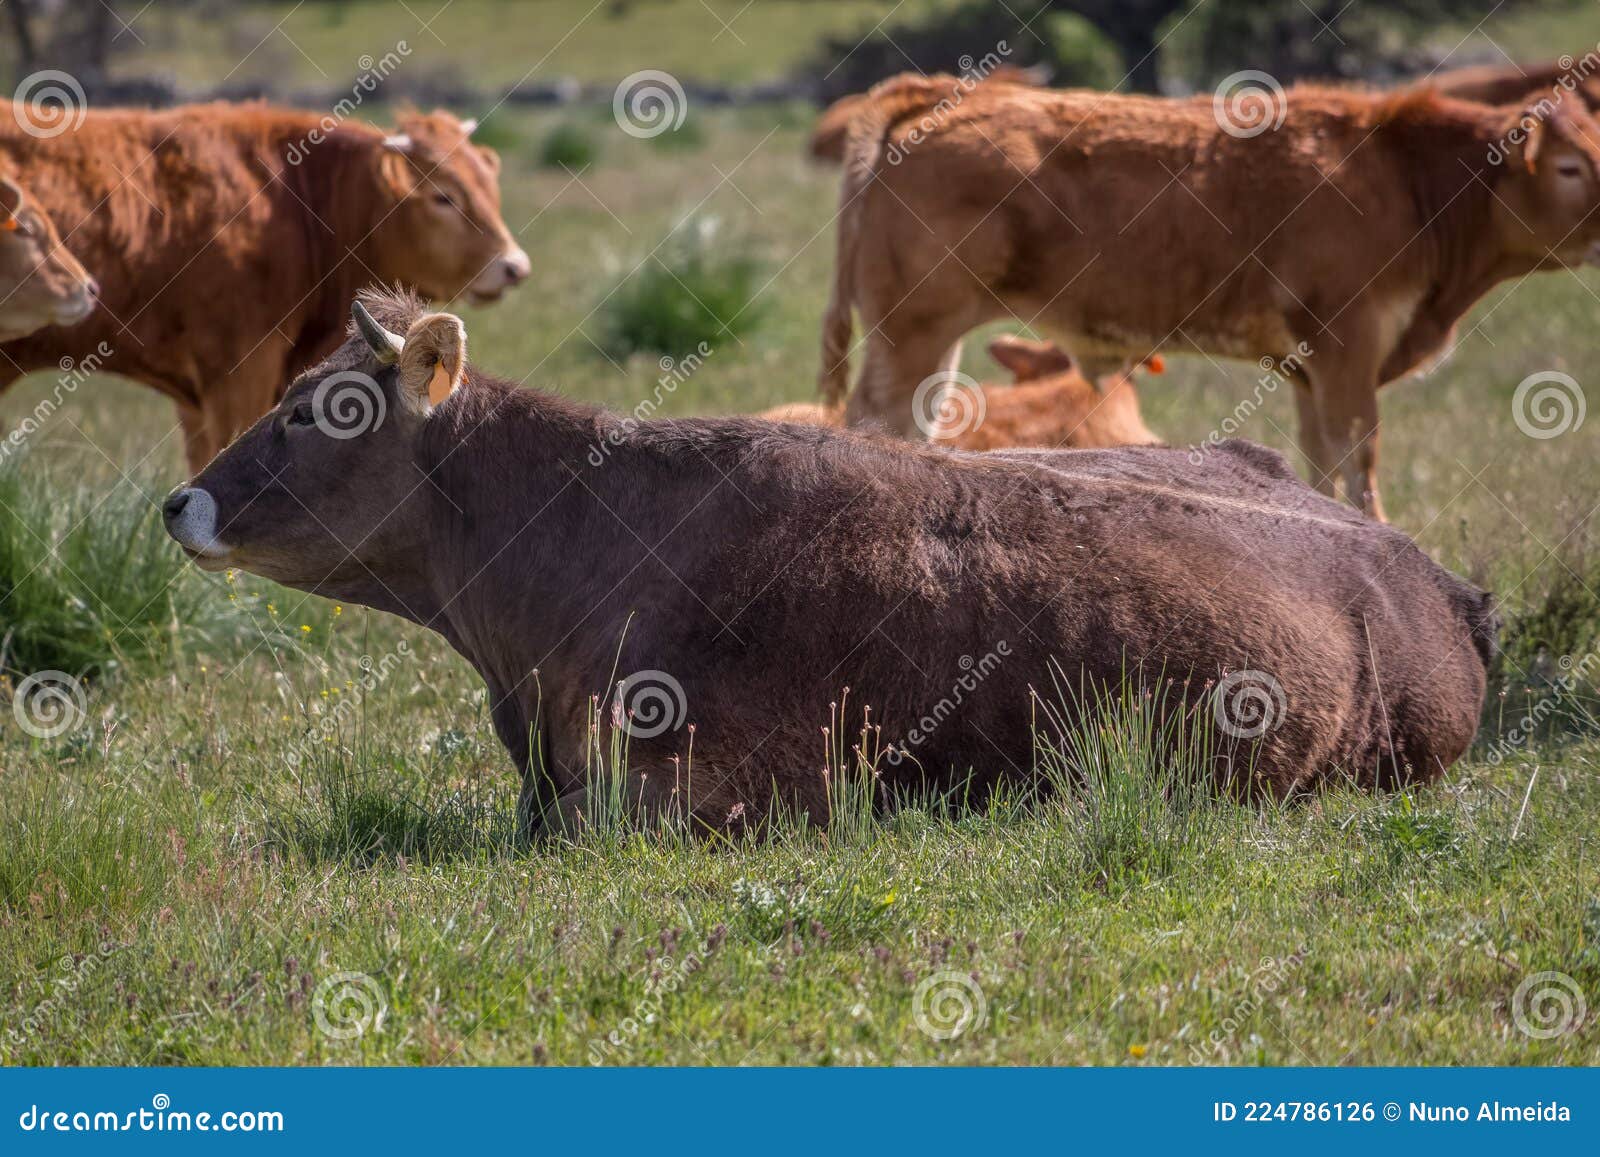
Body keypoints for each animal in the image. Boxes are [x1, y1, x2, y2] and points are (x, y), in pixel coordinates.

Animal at [820, 76, 1600, 521]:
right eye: (1569, 166)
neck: (1407, 174)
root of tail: (937, 99)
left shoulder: (1308, 370)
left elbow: (1323, 463)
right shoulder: (1348, 348)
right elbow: (1361, 459)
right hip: (914, 331)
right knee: (878, 421)